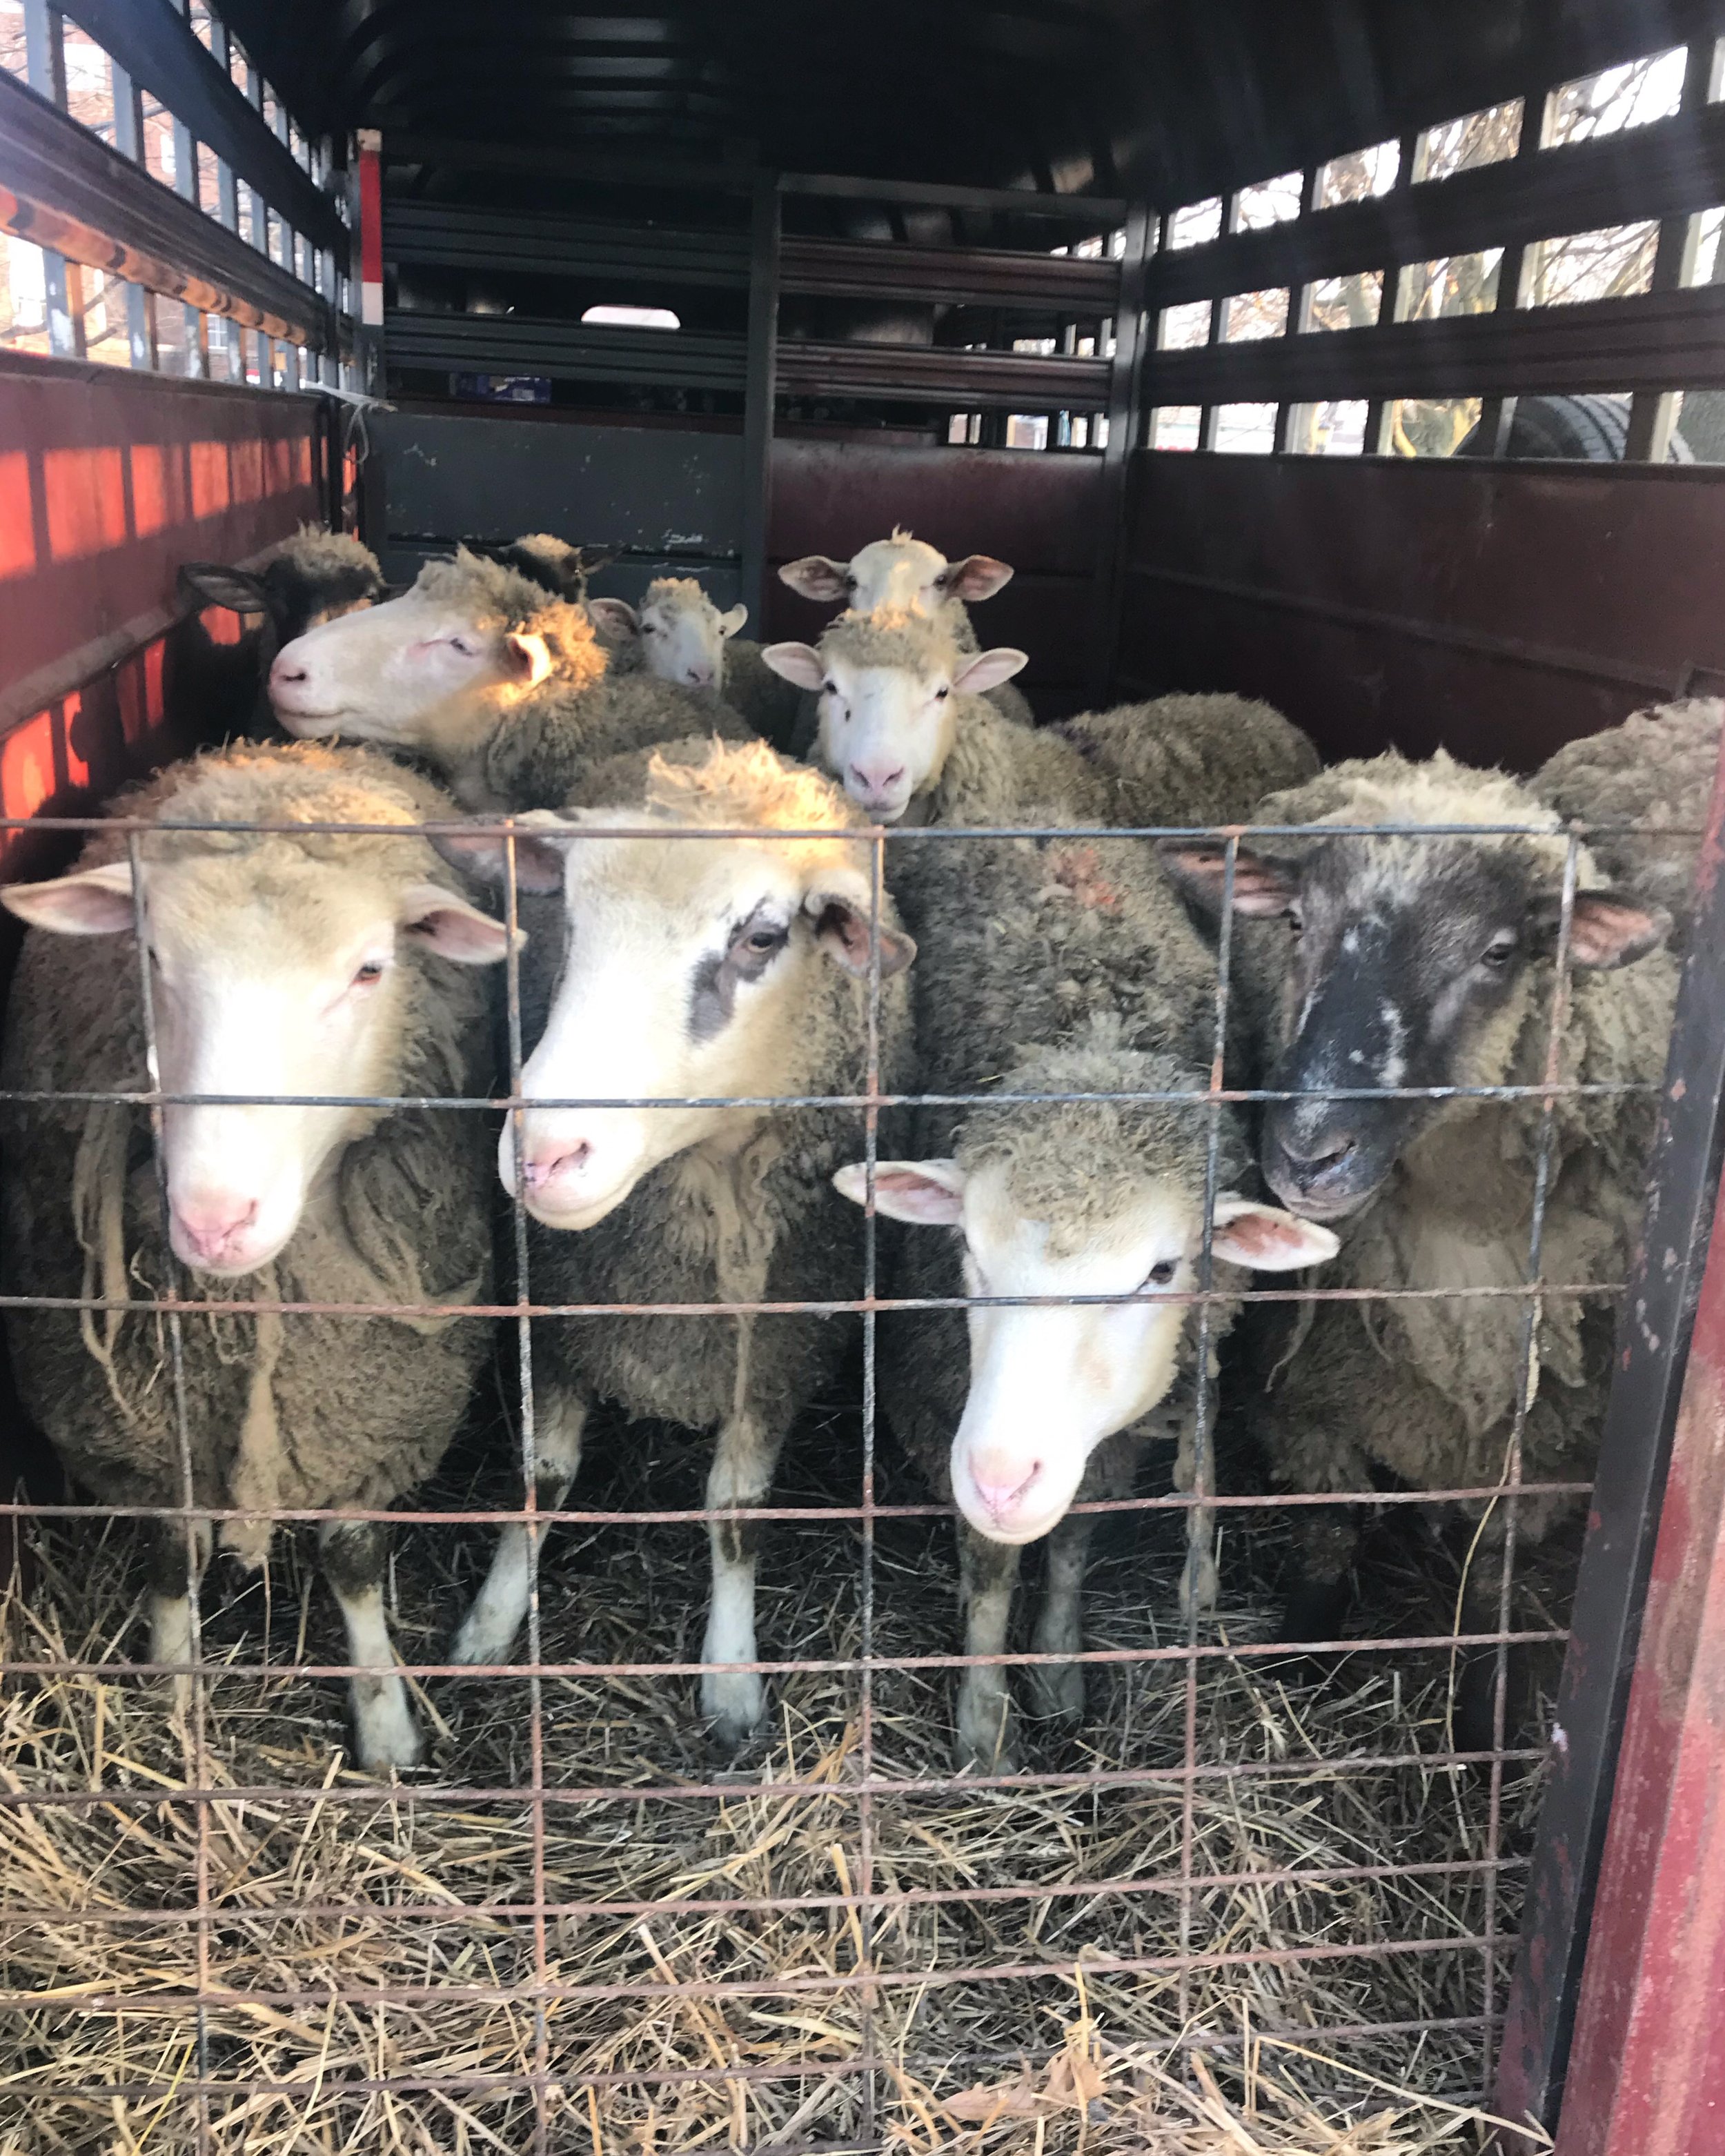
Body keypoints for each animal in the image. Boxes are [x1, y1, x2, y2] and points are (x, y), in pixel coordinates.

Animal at [0, 740, 514, 1771]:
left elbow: (352, 1559)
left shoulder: (376, 1417)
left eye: (369, 970)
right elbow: (175, 1553)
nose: (213, 1217)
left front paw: (386, 1723)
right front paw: (172, 1691)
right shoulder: (149, 1434)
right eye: (151, 955)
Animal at [439, 737, 917, 1755]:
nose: (544, 1154)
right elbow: (541, 1478)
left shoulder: (775, 1348)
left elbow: (734, 1515)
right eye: (568, 917)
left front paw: (731, 1681)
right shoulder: (564, 1315)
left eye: (763, 938)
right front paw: (489, 1627)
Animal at [831, 818, 1335, 1767]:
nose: (999, 1476)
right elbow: (991, 1574)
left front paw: (1058, 1671)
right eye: (968, 1249)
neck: (1095, 1039)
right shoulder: (943, 1403)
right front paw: (984, 1727)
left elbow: (1070, 1543)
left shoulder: (1109, 1442)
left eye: (1161, 1272)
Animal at [1160, 750, 1678, 1737]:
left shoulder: (1536, 1455)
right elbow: (1327, 1533)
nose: (1305, 1150)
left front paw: (1478, 1722)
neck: (1461, 1230)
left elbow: (1489, 1584)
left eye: (1499, 952)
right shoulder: (1306, 1396)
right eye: (1296, 921)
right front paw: (1300, 1658)